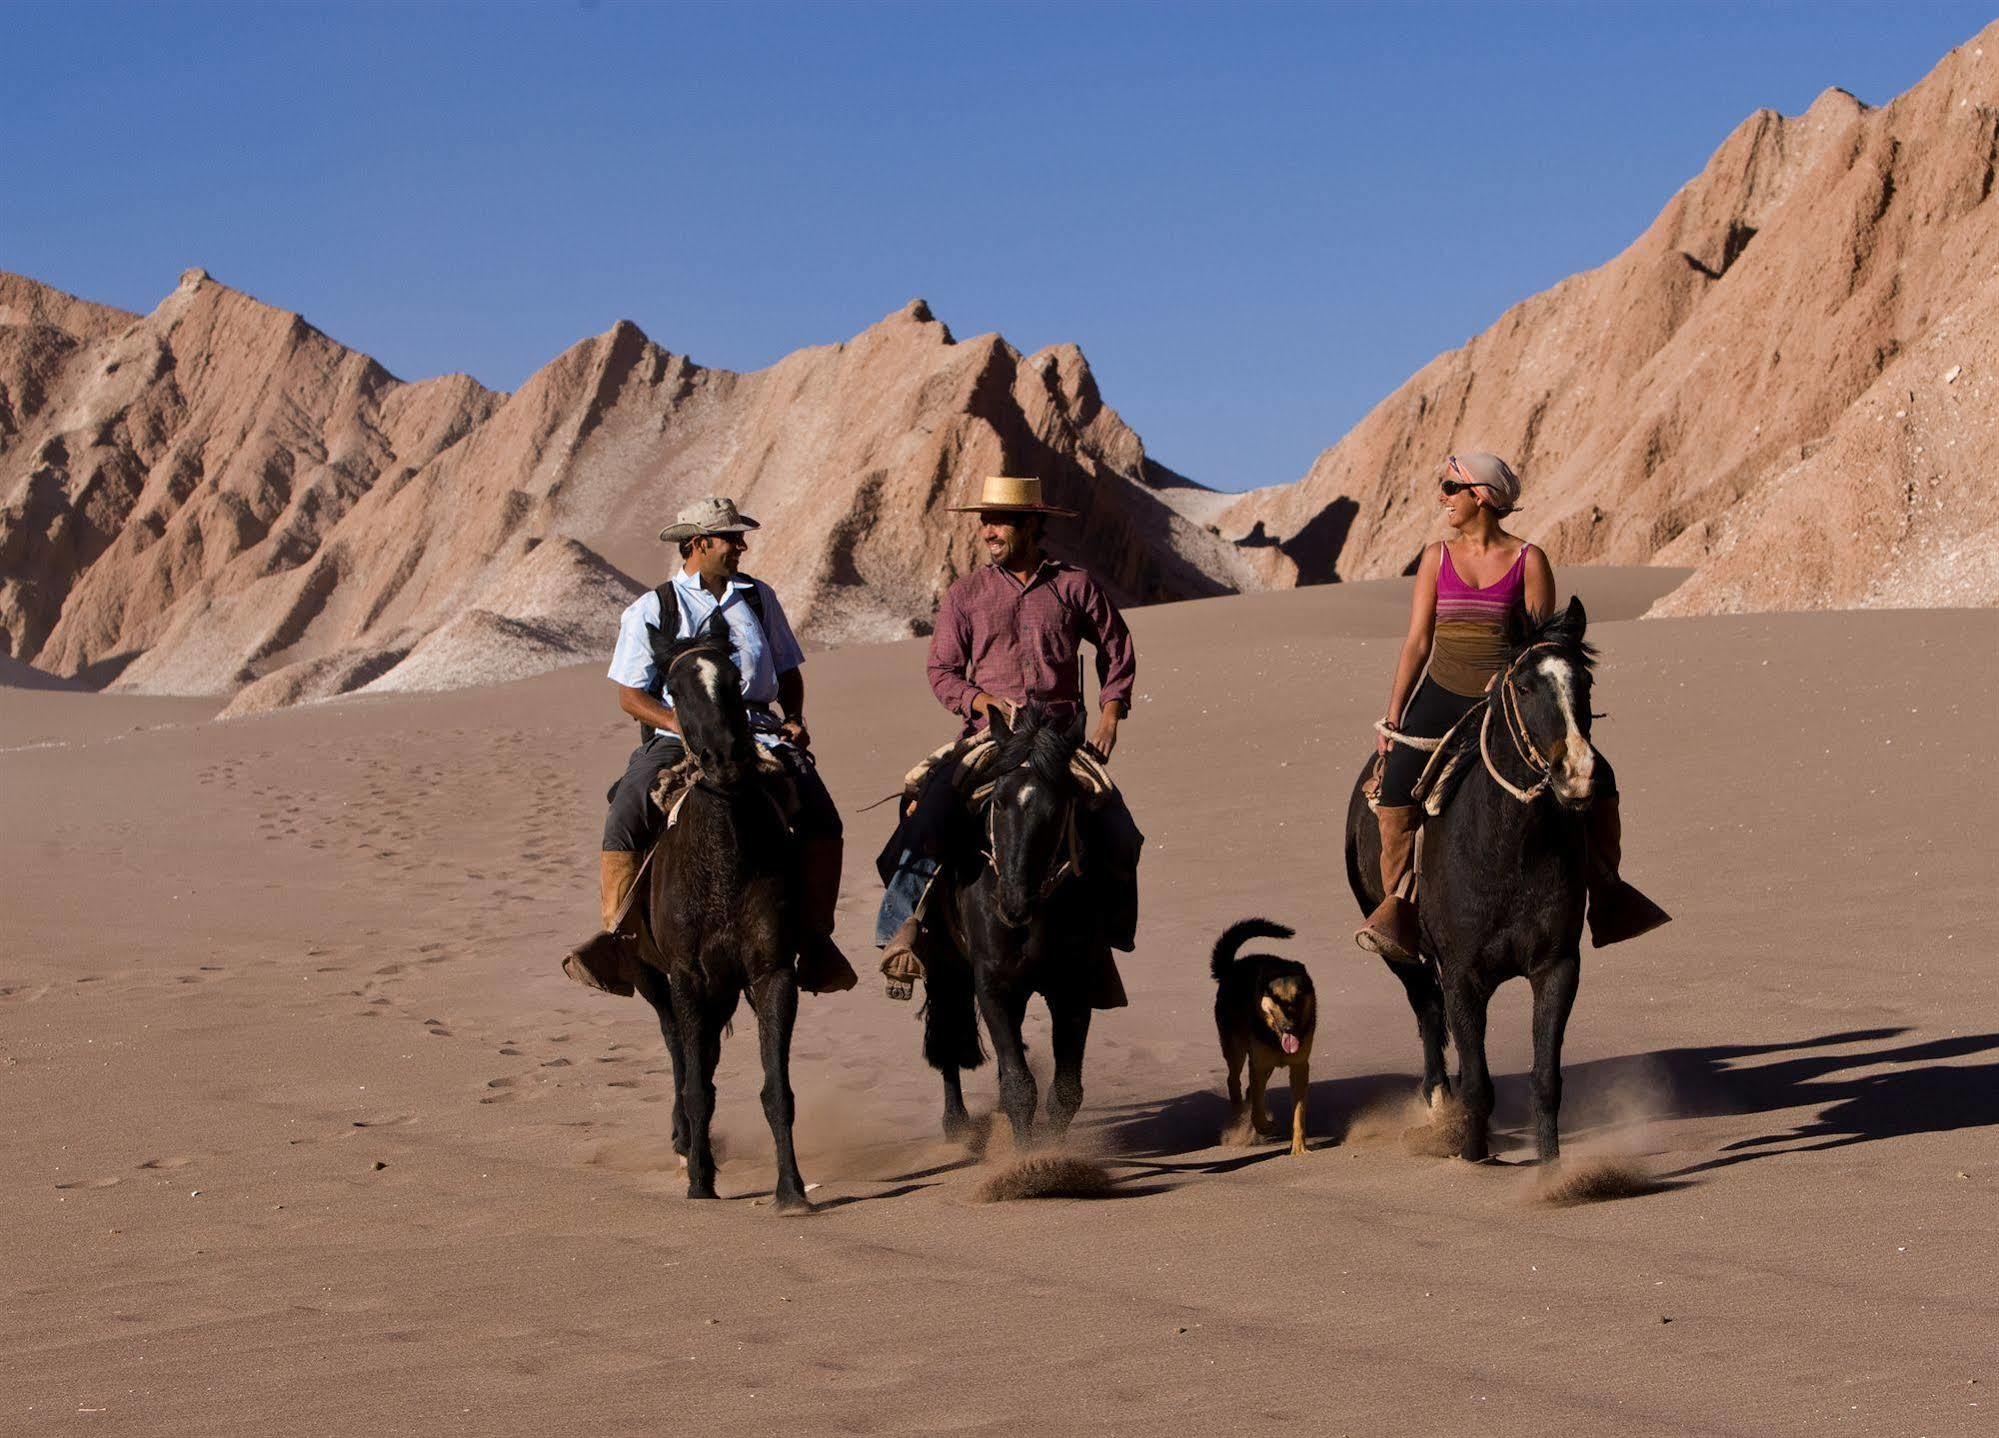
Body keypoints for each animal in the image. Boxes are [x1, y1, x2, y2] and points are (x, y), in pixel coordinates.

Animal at [627, 612, 807, 1216]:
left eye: (732, 679)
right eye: (674, 688)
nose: (726, 761)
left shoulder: (771, 973)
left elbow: (776, 1090)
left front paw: (791, 1189)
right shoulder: (686, 976)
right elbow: (695, 1082)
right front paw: (699, 1181)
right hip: (654, 977)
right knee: (679, 1051)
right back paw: (686, 1143)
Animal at [1207, 924, 1319, 1160]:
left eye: (1298, 997)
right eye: (1275, 999)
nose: (1290, 1028)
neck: (1275, 1035)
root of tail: (1231, 968)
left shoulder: (1299, 1067)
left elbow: (1298, 1112)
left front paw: (1299, 1147)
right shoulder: (1258, 1065)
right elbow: (1257, 1107)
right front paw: (1262, 1126)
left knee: (1249, 1089)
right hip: (1236, 1049)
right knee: (1234, 1081)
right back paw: (1240, 1117)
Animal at [1343, 600, 1607, 1168]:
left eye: (1586, 680)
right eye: (1524, 686)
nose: (1578, 773)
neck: (1508, 850)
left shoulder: (1557, 967)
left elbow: (1544, 1079)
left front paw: (1551, 1170)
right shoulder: (1462, 973)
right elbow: (1479, 1084)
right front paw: (1473, 1157)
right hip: (1403, 956)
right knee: (1426, 1012)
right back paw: (1438, 1103)